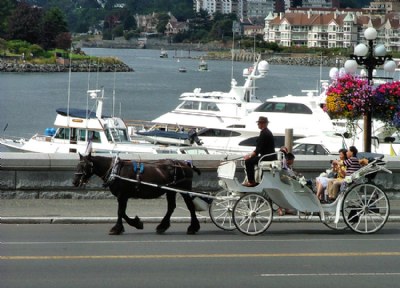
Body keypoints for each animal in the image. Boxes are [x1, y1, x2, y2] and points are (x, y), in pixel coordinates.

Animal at [72, 154, 202, 235]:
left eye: (84, 166)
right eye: (77, 165)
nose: (74, 182)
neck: (115, 170)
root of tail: (185, 164)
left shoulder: (122, 195)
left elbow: (120, 212)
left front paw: (118, 228)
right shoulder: (123, 196)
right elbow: (122, 212)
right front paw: (136, 223)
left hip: (184, 189)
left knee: (190, 206)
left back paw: (193, 227)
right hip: (170, 190)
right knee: (171, 207)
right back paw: (162, 226)